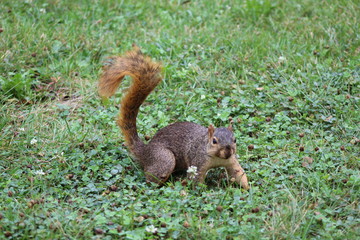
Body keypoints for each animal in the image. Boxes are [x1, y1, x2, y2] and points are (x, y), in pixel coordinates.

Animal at [98, 46, 250, 189]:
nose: (228, 151)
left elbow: (239, 173)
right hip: (164, 159)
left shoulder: (231, 161)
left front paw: (248, 188)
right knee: (151, 178)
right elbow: (196, 180)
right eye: (214, 141)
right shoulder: (198, 162)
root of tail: (145, 151)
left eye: (235, 140)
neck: (217, 158)